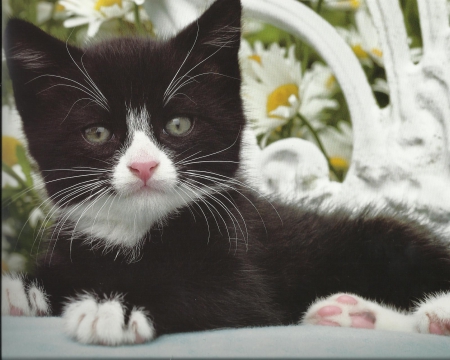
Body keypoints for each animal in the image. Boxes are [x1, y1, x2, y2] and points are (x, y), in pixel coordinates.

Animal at [3, 0, 450, 344]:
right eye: (97, 133)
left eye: (178, 124)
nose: (144, 165)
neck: (133, 235)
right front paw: (18, 290)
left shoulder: (246, 271)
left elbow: (210, 293)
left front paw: (117, 309)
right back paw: (352, 314)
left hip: (386, 238)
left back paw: (434, 314)